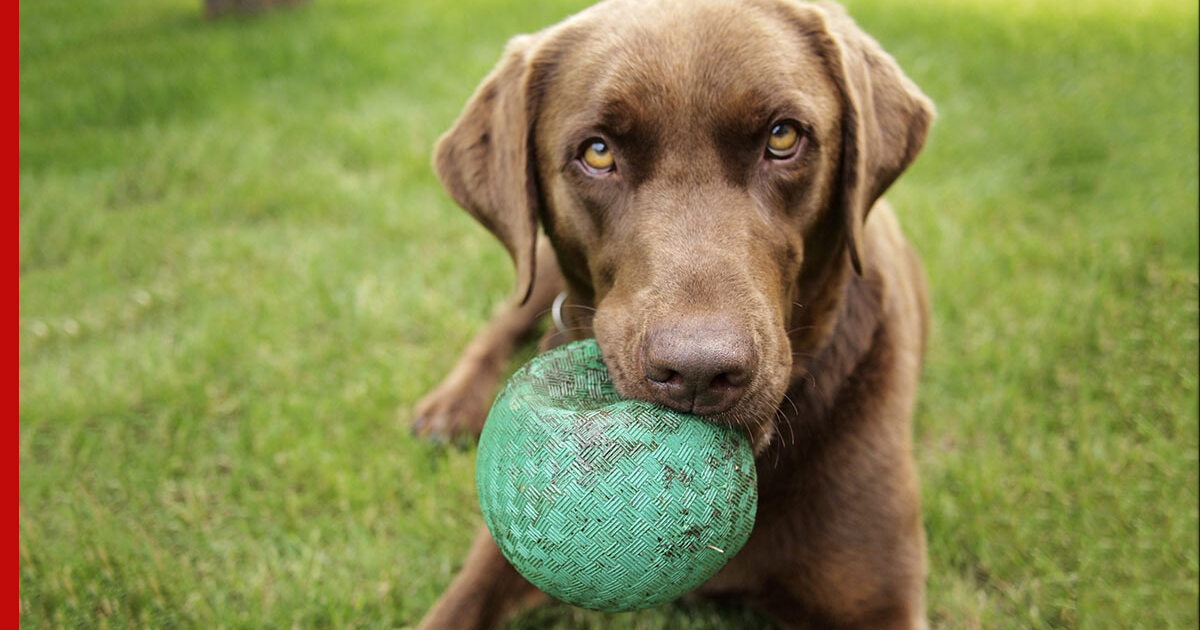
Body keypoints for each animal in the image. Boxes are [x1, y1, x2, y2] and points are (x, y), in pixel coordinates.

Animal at [415, 2, 936, 624]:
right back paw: (449, 407)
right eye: (597, 152)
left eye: (783, 136)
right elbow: (456, 607)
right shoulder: (503, 554)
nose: (698, 372)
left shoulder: (882, 602)